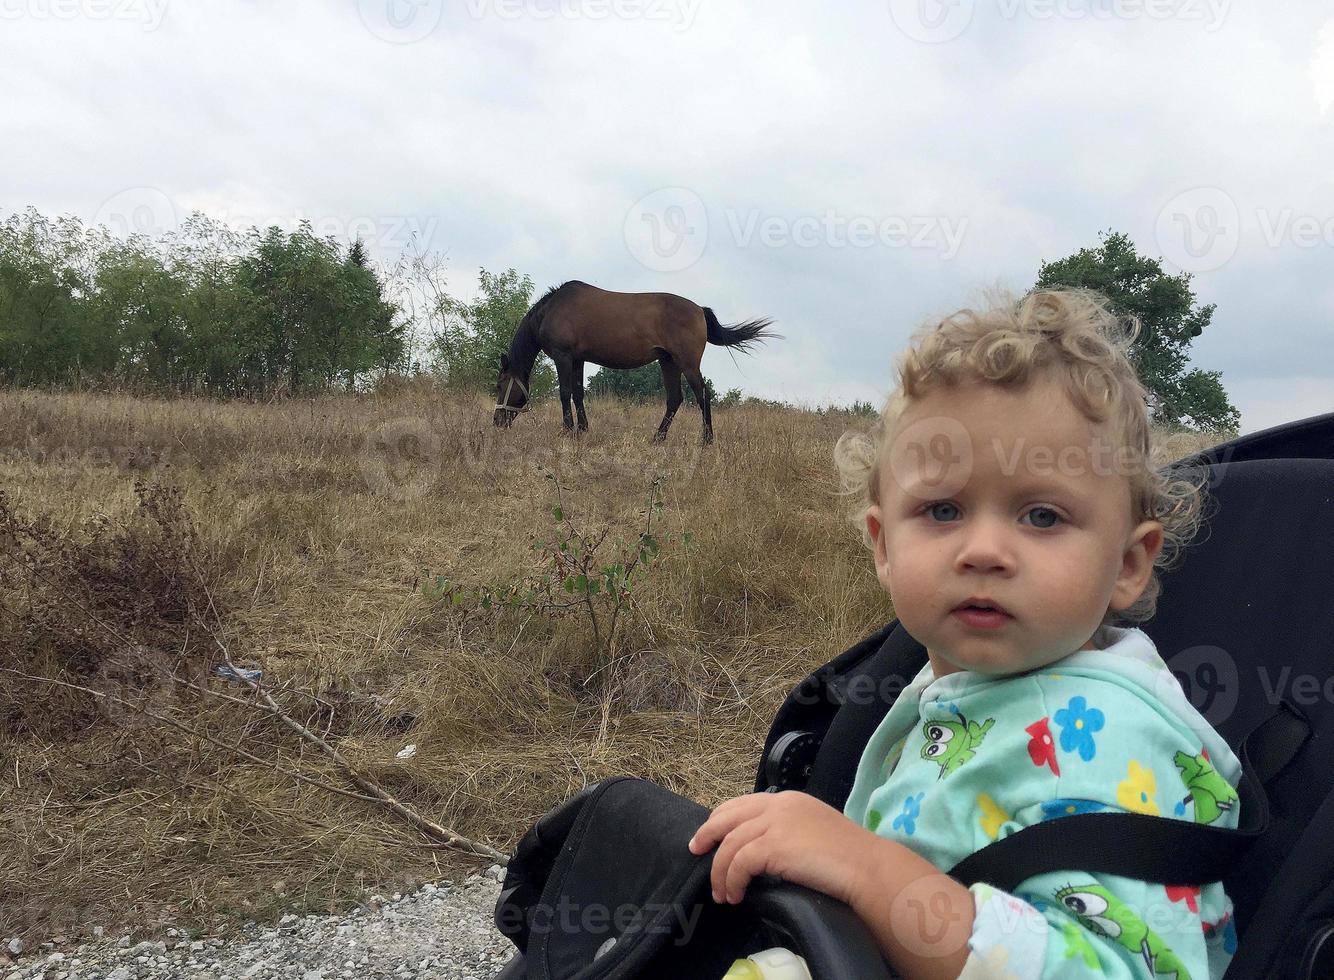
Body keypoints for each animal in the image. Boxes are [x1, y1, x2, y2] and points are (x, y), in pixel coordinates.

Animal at [496, 280, 779, 440]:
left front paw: (566, 431)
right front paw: (582, 430)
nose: (497, 421)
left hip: (687, 363)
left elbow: (565, 393)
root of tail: (699, 310)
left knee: (702, 396)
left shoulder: (564, 357)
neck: (552, 310)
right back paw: (658, 438)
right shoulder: (578, 360)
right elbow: (577, 393)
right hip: (668, 362)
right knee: (674, 399)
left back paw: (707, 440)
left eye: (500, 385)